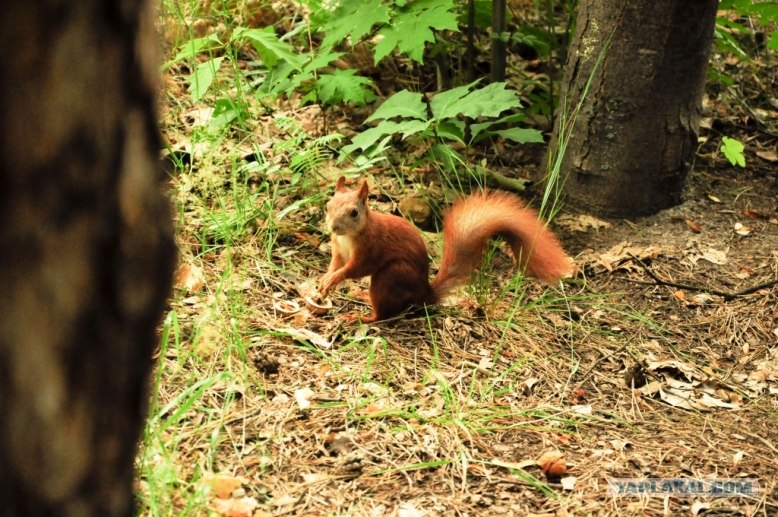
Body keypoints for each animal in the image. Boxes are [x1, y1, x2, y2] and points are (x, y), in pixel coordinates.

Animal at [318, 176, 572, 323]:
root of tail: (424, 294)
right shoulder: (338, 249)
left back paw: (363, 318)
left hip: (391, 275)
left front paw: (333, 279)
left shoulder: (372, 248)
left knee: (386, 313)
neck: (348, 237)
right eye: (327, 205)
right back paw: (361, 295)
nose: (333, 227)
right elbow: (336, 263)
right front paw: (324, 279)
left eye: (354, 213)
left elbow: (356, 268)